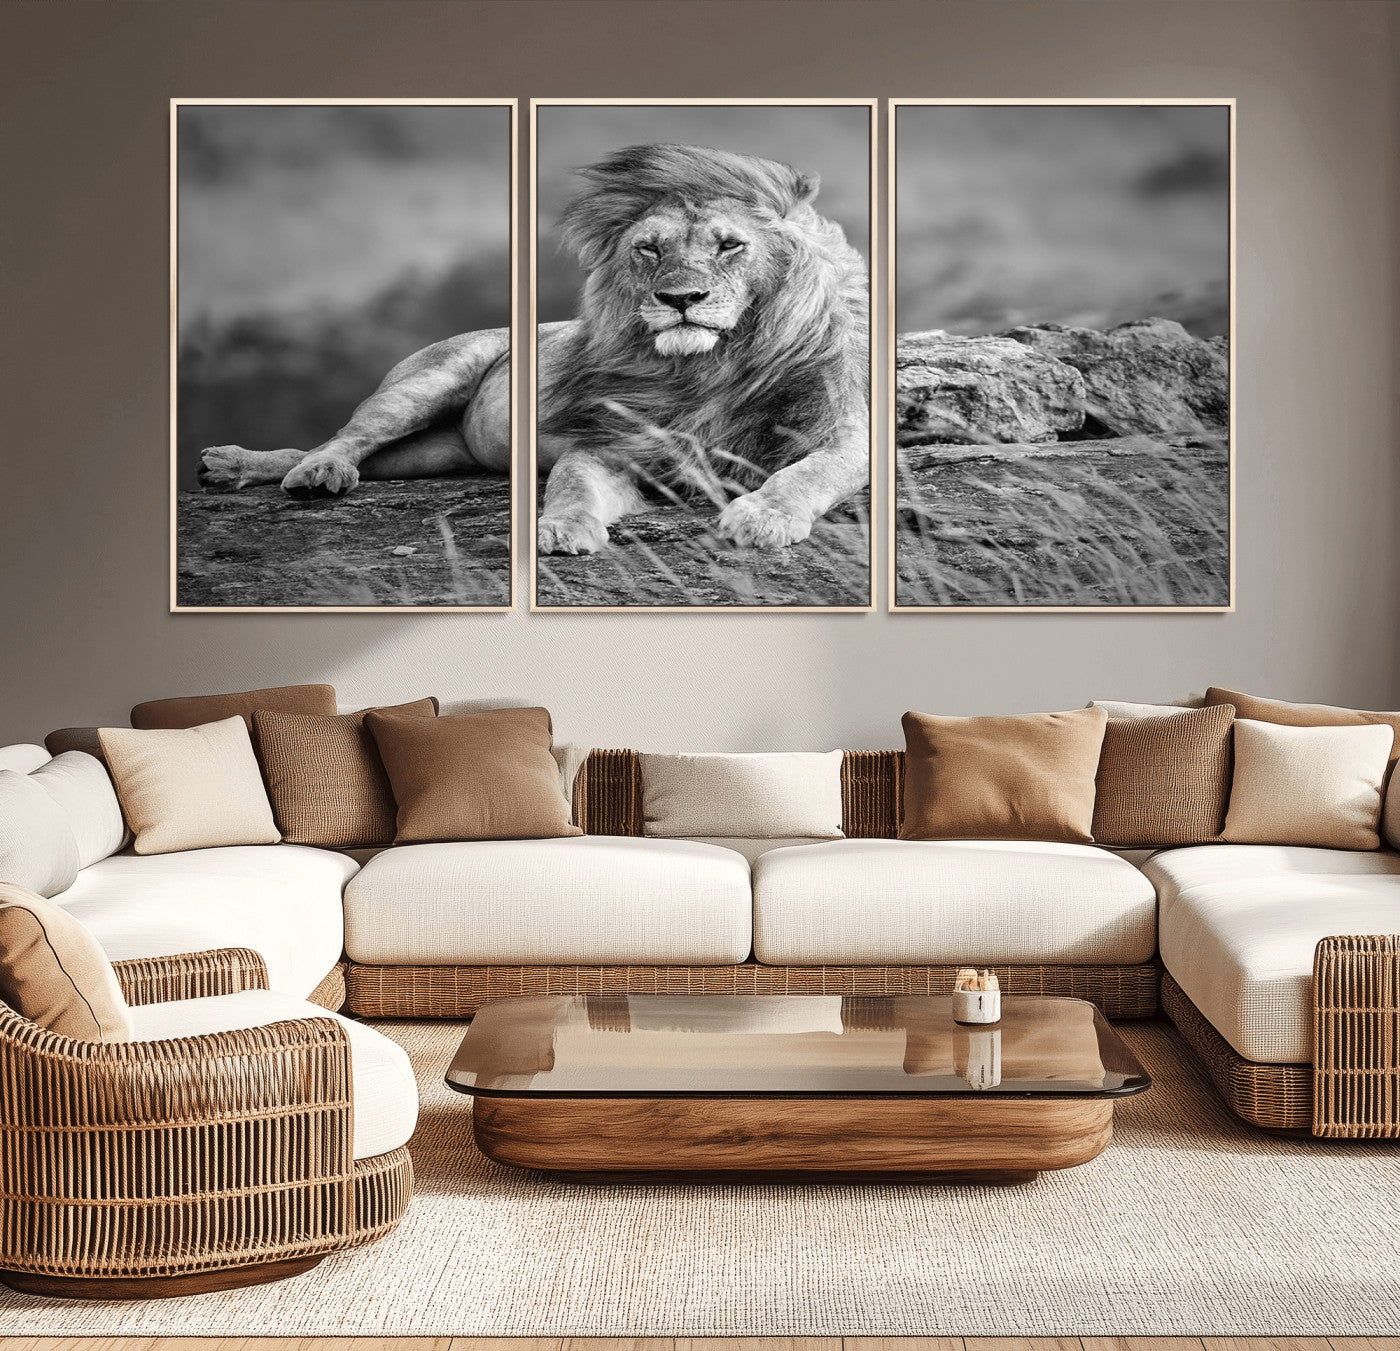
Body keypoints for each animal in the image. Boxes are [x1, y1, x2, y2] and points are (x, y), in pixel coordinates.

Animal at [198, 142, 870, 553]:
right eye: (649, 249)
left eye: (730, 245)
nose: (681, 297)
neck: (709, 367)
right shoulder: (612, 445)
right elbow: (570, 482)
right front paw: (560, 530)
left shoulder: (844, 435)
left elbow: (808, 472)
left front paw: (761, 517)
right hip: (425, 384)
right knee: (341, 438)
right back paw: (299, 471)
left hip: (432, 454)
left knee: (339, 451)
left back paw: (238, 466)